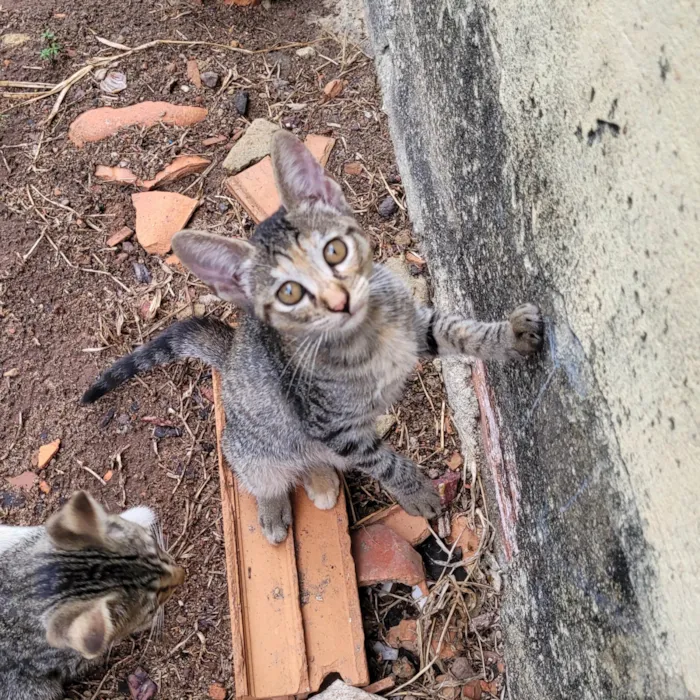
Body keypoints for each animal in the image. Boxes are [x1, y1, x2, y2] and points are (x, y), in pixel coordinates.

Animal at [80, 133, 540, 548]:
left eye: (335, 250)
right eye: (289, 293)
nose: (339, 300)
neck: (366, 335)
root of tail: (229, 357)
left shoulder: (413, 329)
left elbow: (457, 331)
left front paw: (508, 335)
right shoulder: (331, 424)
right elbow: (383, 462)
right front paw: (417, 492)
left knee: (314, 459)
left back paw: (321, 482)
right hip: (255, 445)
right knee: (269, 471)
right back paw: (273, 510)